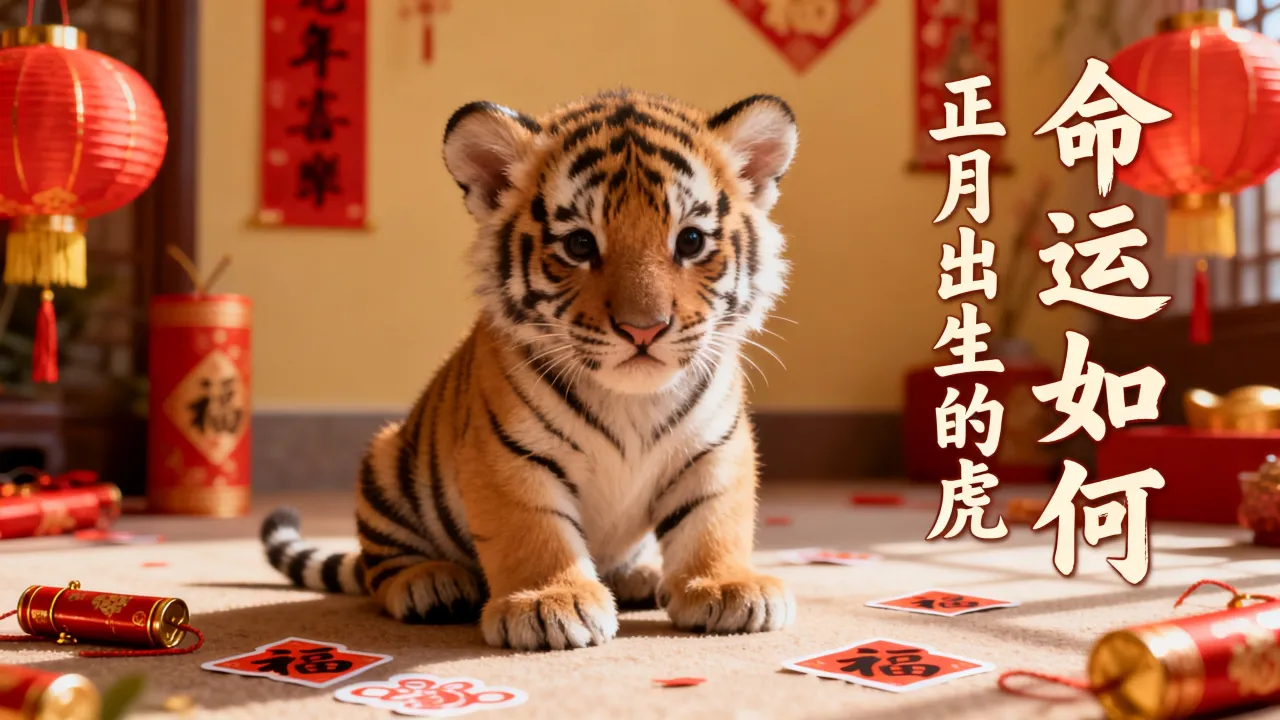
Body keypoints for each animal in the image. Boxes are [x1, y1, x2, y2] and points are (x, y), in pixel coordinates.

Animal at [260, 89, 799, 651]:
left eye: (690, 241)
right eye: (580, 245)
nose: (643, 329)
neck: (631, 401)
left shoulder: (714, 449)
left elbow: (713, 520)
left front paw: (728, 586)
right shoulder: (510, 455)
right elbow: (535, 530)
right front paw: (550, 603)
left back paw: (639, 575)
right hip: (385, 465)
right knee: (381, 567)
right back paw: (429, 583)